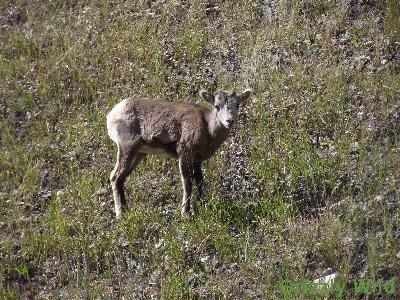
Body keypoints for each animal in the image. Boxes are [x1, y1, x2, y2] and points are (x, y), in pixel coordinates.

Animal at [105, 88, 250, 218]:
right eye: (217, 106)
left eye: (237, 105)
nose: (229, 121)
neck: (208, 129)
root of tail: (112, 114)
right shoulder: (184, 154)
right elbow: (187, 183)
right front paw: (185, 213)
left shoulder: (197, 160)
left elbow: (199, 181)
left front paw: (200, 206)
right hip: (127, 147)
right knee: (115, 176)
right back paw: (120, 215)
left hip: (139, 153)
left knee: (121, 178)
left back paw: (126, 211)